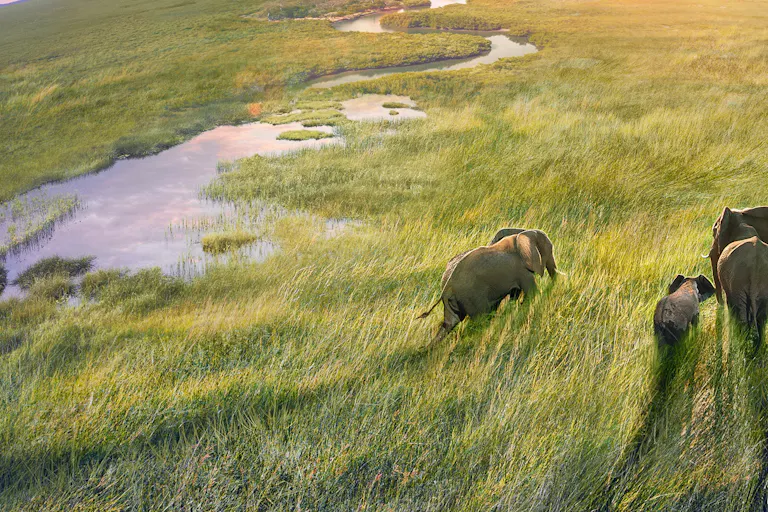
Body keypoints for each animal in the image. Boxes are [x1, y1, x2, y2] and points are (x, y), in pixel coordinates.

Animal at [418, 229, 557, 345]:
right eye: (547, 250)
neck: (522, 234)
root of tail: (447, 288)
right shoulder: (521, 270)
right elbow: (532, 292)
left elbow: (515, 295)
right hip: (471, 297)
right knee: (481, 319)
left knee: (450, 322)